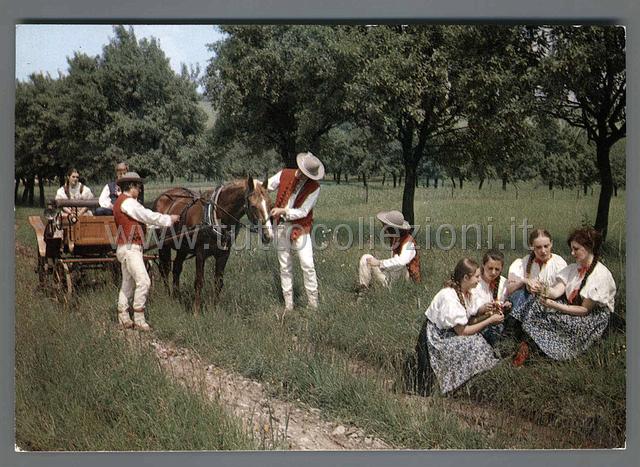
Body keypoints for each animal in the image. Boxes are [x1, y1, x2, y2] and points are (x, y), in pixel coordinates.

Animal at [152, 176, 272, 314]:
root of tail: (162, 196)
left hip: (182, 248)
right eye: (253, 206)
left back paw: (177, 296)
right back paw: (168, 295)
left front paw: (215, 308)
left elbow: (218, 282)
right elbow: (199, 281)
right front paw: (196, 311)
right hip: (163, 245)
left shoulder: (223, 255)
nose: (268, 235)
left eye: (270, 204)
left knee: (177, 268)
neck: (216, 216)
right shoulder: (200, 254)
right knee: (165, 269)